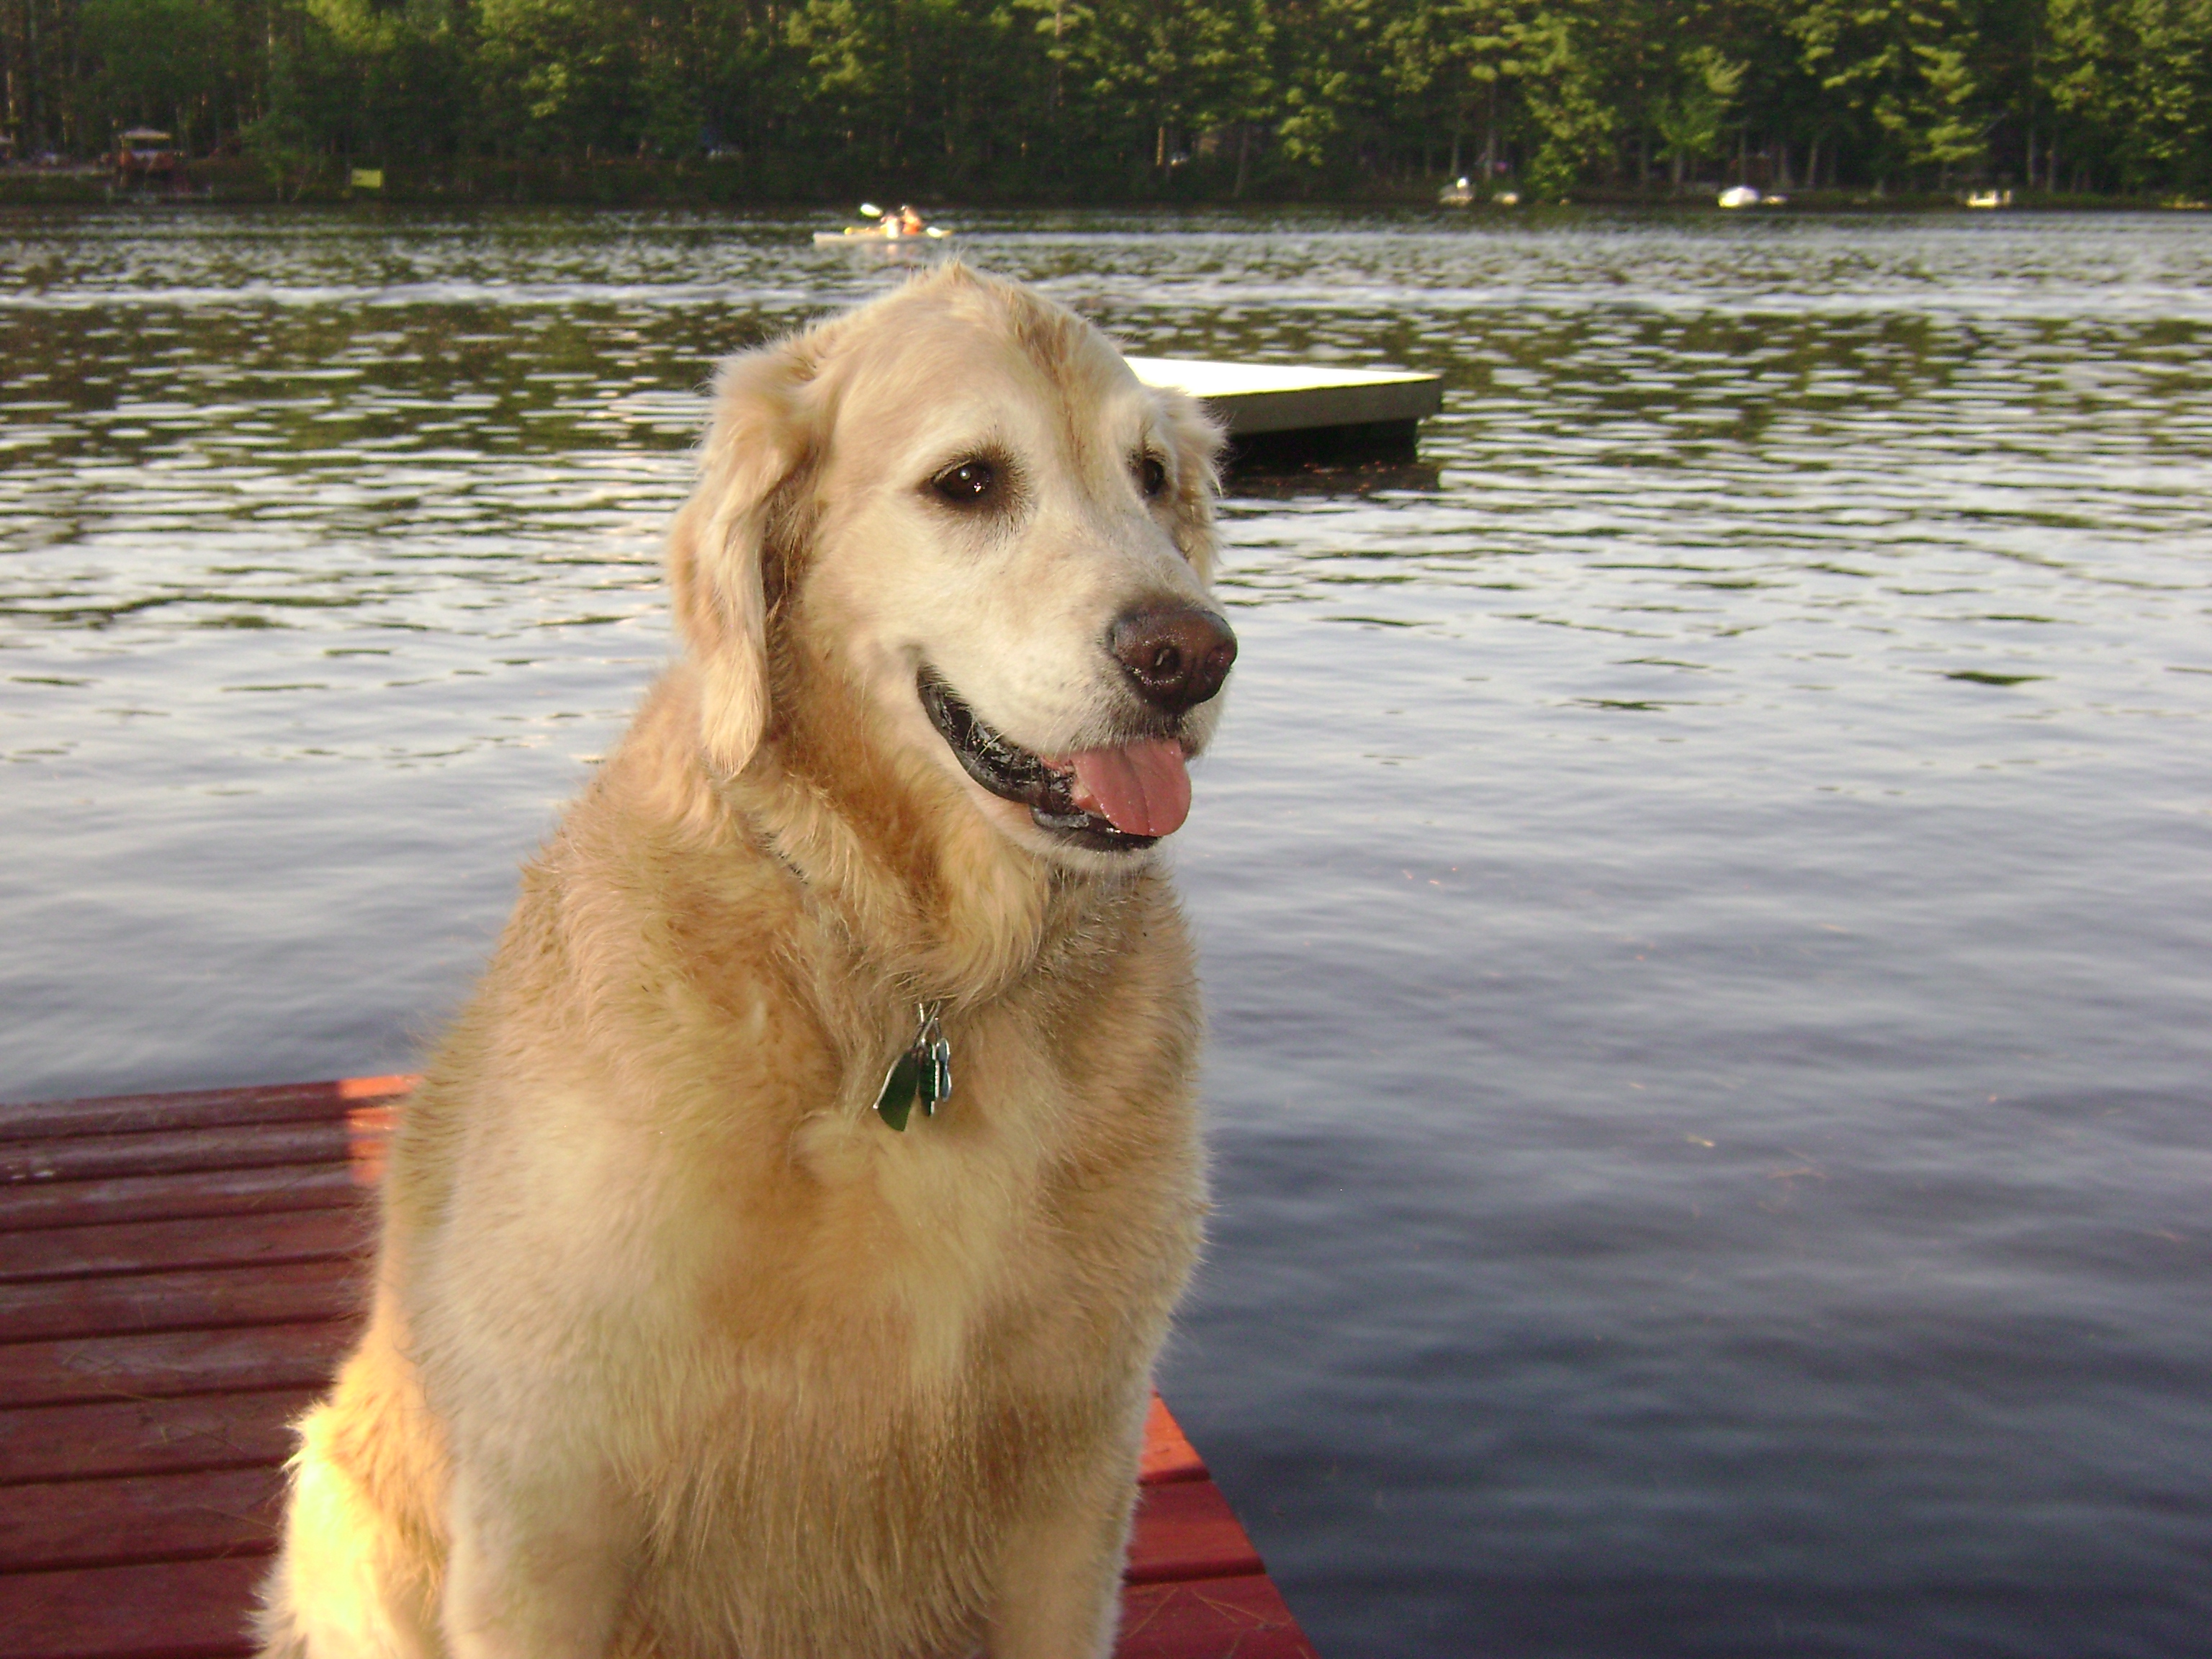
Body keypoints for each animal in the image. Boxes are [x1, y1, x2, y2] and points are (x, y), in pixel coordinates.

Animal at [254, 266, 1247, 1659]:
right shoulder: (549, 1495)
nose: (1191, 653)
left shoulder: (1074, 1469)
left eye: (1152, 474)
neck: (901, 972)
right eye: (969, 481)